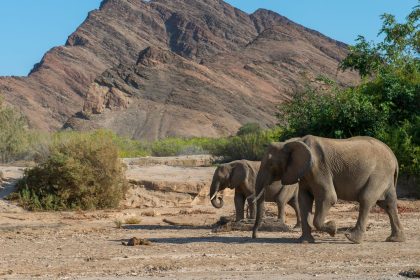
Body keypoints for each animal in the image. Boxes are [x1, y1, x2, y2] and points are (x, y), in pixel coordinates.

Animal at [251, 135, 406, 243]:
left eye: (271, 164)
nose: (254, 237)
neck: (292, 142)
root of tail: (394, 157)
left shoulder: (319, 168)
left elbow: (328, 197)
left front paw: (333, 228)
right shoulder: (305, 173)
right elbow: (304, 200)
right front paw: (305, 241)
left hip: (378, 174)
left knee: (366, 199)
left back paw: (352, 238)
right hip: (385, 177)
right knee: (388, 203)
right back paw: (395, 239)